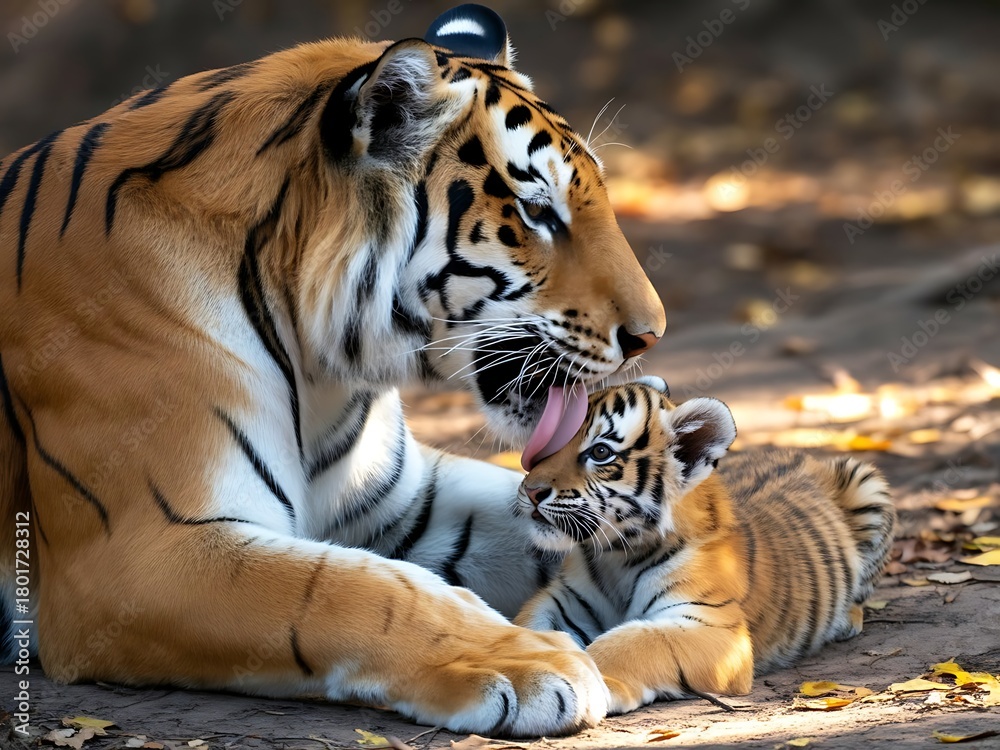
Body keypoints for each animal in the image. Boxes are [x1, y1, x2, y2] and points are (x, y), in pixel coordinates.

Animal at [0, 4, 666, 737]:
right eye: (538, 211)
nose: (650, 334)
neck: (319, 362)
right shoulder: (140, 555)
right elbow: (360, 590)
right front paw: (531, 663)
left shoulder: (399, 499)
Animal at [514, 376, 896, 714]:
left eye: (601, 452)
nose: (531, 490)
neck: (616, 556)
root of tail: (802, 454)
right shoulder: (561, 601)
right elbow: (526, 630)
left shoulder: (713, 625)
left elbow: (629, 643)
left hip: (866, 482)